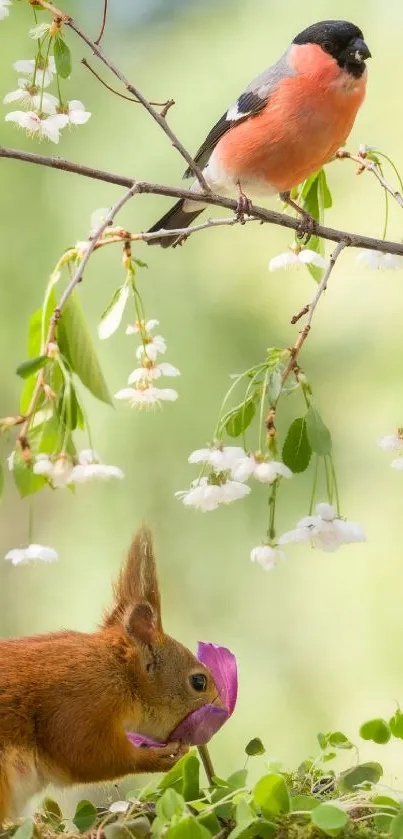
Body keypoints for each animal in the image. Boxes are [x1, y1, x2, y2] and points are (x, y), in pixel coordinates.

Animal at [0, 528, 221, 824]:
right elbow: (83, 754)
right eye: (199, 681)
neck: (120, 674)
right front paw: (159, 757)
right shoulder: (83, 700)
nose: (218, 717)